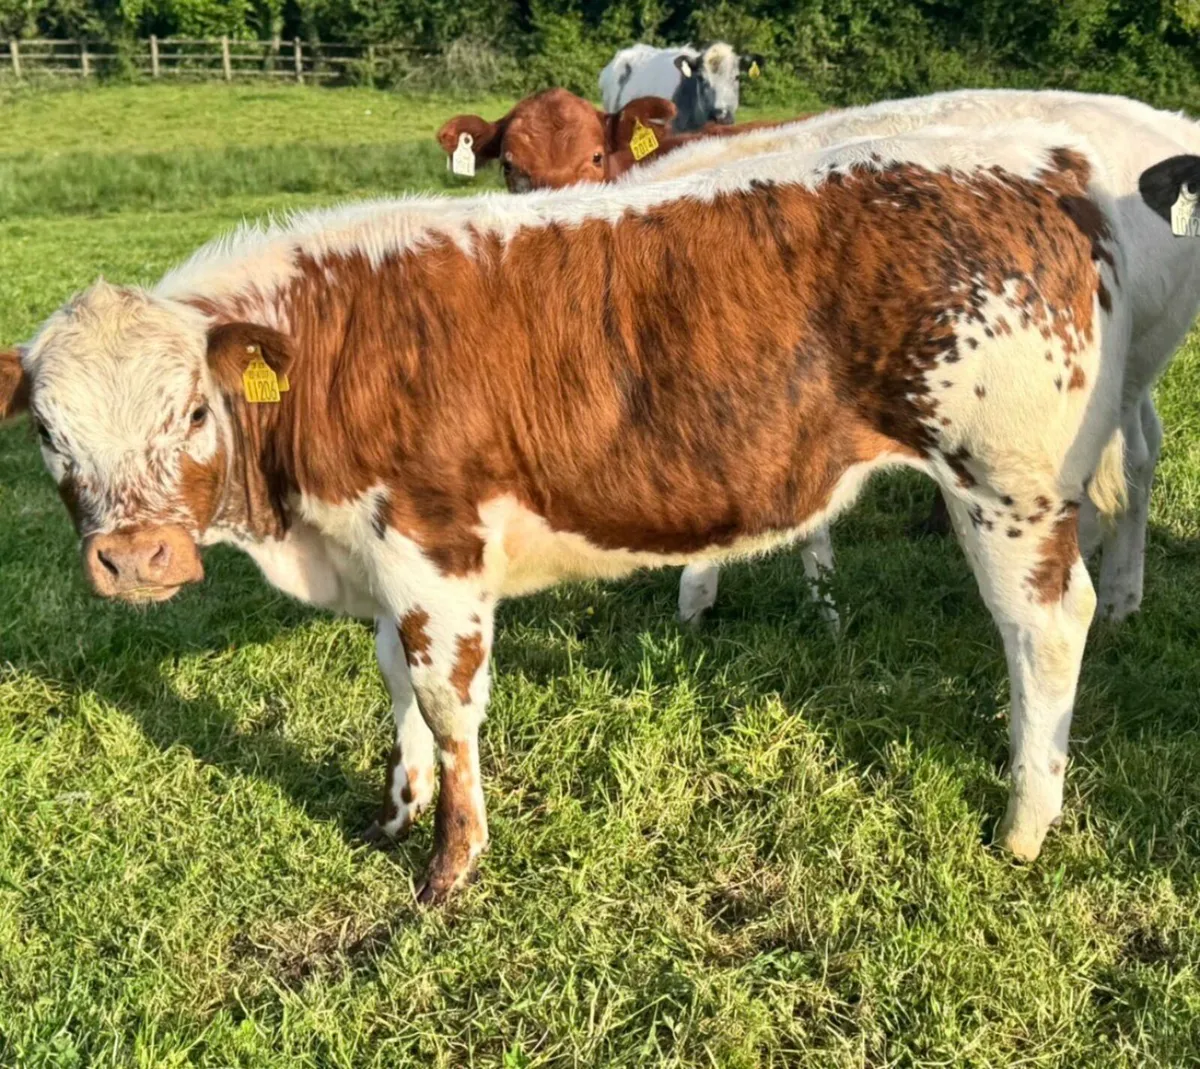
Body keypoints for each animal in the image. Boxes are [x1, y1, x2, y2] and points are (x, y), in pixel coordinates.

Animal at [1, 120, 1129, 903]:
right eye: (48, 431)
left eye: (192, 410)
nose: (137, 556)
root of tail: (1037, 176)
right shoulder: (374, 554)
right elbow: (393, 683)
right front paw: (397, 811)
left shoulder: (436, 547)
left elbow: (446, 701)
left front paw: (450, 868)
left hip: (1006, 484)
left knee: (1044, 627)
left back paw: (1024, 823)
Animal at [631, 88, 1200, 627]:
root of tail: (1171, 125)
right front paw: (823, 602)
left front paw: (699, 599)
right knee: (1143, 448)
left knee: (1129, 457)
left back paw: (1111, 591)